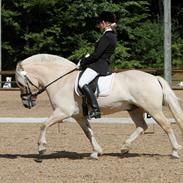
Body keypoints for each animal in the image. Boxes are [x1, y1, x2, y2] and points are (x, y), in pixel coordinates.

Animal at [15, 53, 183, 159]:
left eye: (20, 83)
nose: (26, 103)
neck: (61, 80)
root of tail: (154, 78)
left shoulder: (62, 112)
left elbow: (43, 124)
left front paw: (41, 148)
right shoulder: (79, 116)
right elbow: (89, 133)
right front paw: (96, 152)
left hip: (153, 109)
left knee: (166, 125)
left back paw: (175, 152)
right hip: (134, 109)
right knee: (142, 126)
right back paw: (124, 147)